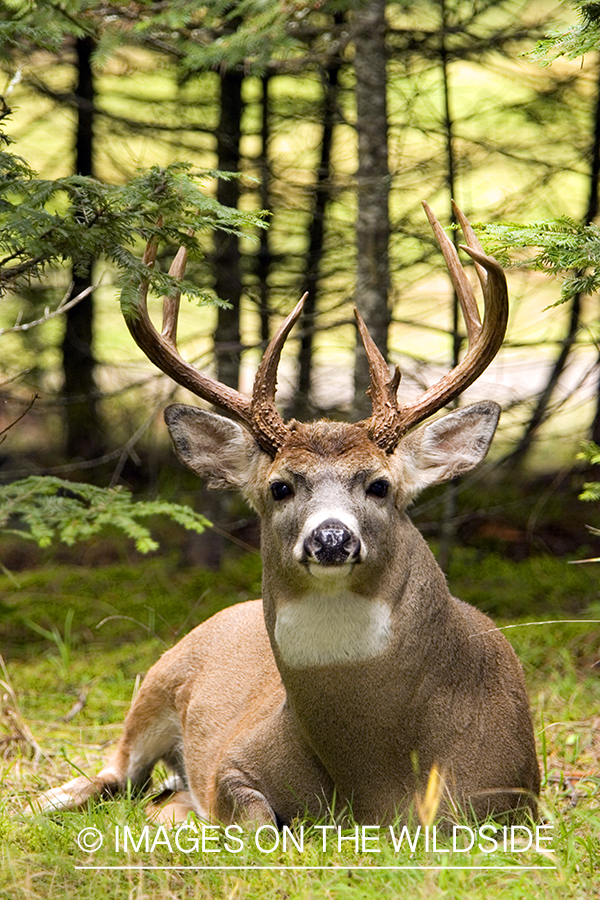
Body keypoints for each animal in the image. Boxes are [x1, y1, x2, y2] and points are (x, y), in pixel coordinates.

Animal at [34, 202, 539, 827]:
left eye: (380, 485)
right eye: (279, 487)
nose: (331, 539)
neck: (376, 775)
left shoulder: (511, 798)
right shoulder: (232, 760)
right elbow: (254, 821)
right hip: (158, 679)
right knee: (114, 773)